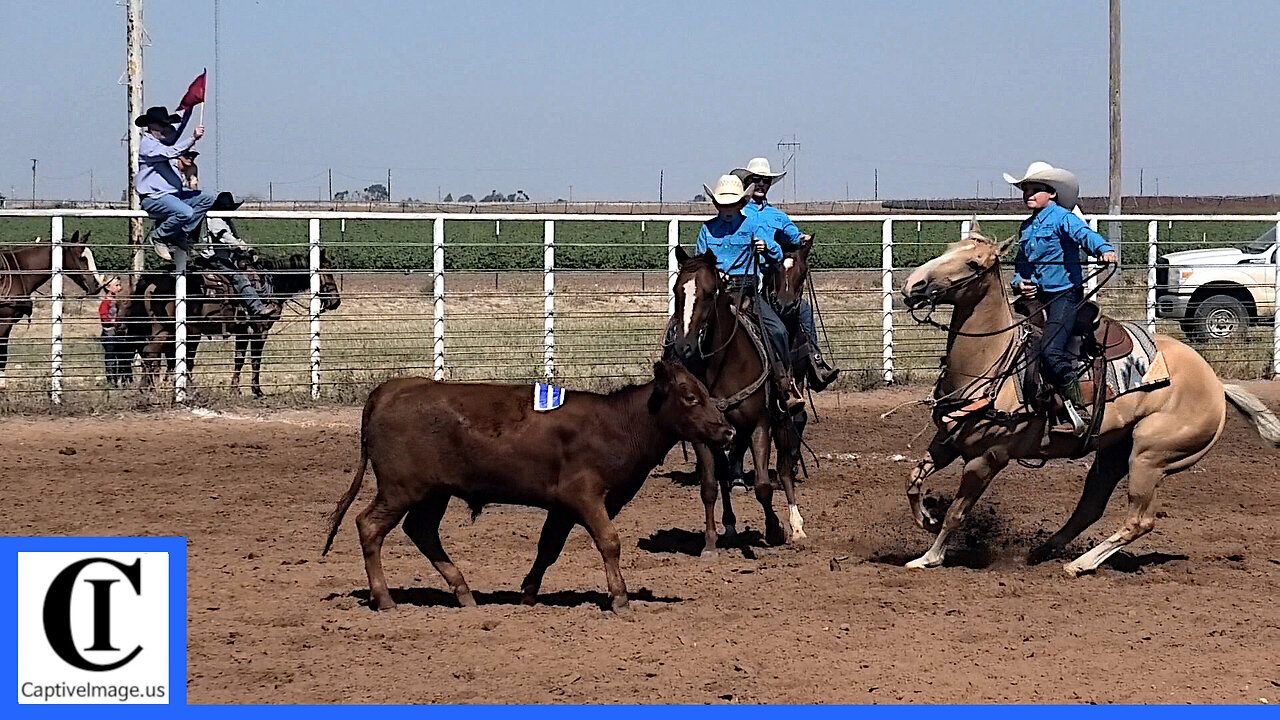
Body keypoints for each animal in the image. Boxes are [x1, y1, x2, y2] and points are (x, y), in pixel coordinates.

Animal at [120, 245, 337, 392]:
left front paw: (235, 389)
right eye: (327, 271)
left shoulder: (242, 331)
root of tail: (151, 279)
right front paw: (256, 391)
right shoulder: (260, 330)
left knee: (153, 357)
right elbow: (255, 360)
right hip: (164, 330)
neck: (271, 284)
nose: (336, 301)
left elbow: (239, 359)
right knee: (151, 355)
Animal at [325, 361, 737, 614]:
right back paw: (385, 598)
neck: (617, 424)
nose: (728, 430)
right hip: (400, 489)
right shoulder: (585, 496)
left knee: (421, 531)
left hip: (432, 494)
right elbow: (609, 541)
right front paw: (620, 598)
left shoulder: (563, 506)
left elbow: (549, 547)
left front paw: (528, 593)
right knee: (370, 526)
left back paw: (464, 593)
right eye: (691, 397)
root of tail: (390, 391)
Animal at [665, 245, 803, 556]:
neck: (724, 364)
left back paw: (797, 526)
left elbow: (763, 484)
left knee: (785, 469)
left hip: (782, 420)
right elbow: (709, 486)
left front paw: (775, 530)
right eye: (678, 291)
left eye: (708, 293)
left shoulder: (760, 425)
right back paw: (729, 527)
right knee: (726, 475)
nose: (684, 346)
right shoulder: (703, 436)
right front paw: (709, 543)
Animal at [901, 226, 1280, 573]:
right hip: (1113, 453)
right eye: (948, 249)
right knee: (1090, 508)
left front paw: (928, 557)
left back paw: (1080, 564)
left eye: (973, 262)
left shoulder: (988, 457)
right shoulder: (948, 441)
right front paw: (925, 520)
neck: (993, 361)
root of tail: (1216, 384)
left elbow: (957, 512)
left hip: (1150, 456)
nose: (913, 286)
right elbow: (913, 480)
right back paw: (1042, 552)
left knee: (1139, 521)